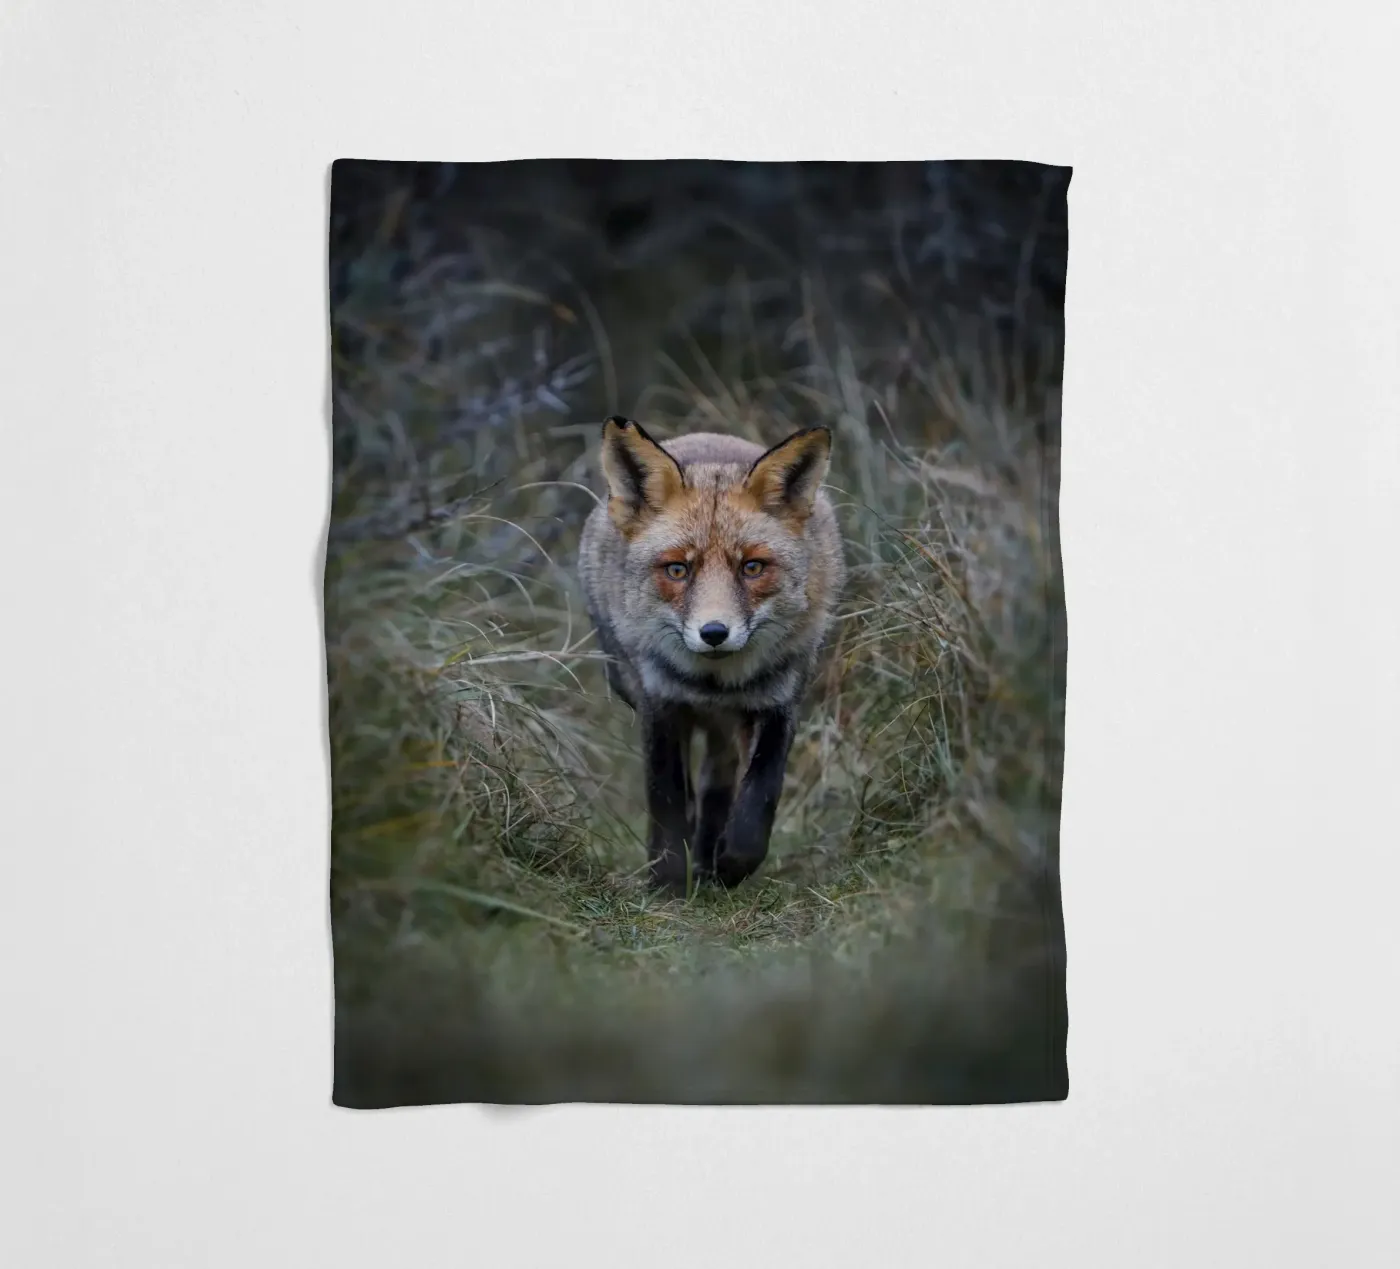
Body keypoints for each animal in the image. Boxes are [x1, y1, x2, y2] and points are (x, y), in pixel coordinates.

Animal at [579, 415, 846, 893]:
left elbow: (759, 798)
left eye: (752, 567)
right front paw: (668, 882)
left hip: (730, 727)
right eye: (677, 570)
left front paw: (731, 864)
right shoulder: (660, 703)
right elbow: (667, 799)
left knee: (717, 782)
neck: (714, 684)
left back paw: (708, 858)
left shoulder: (779, 702)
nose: (715, 633)